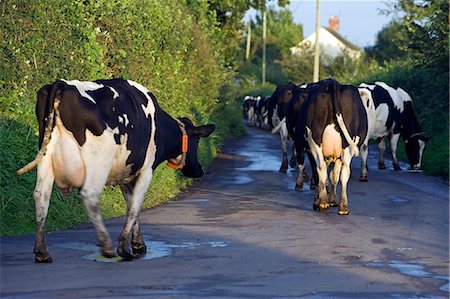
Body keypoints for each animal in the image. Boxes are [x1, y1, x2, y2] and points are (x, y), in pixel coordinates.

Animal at [15, 78, 216, 264]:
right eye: (197, 140)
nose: (199, 170)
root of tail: (62, 84)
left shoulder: (126, 174)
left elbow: (131, 204)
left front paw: (138, 243)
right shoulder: (146, 169)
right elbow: (135, 206)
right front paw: (125, 247)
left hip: (46, 156)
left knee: (41, 196)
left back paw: (42, 252)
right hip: (97, 161)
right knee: (89, 195)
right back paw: (107, 246)